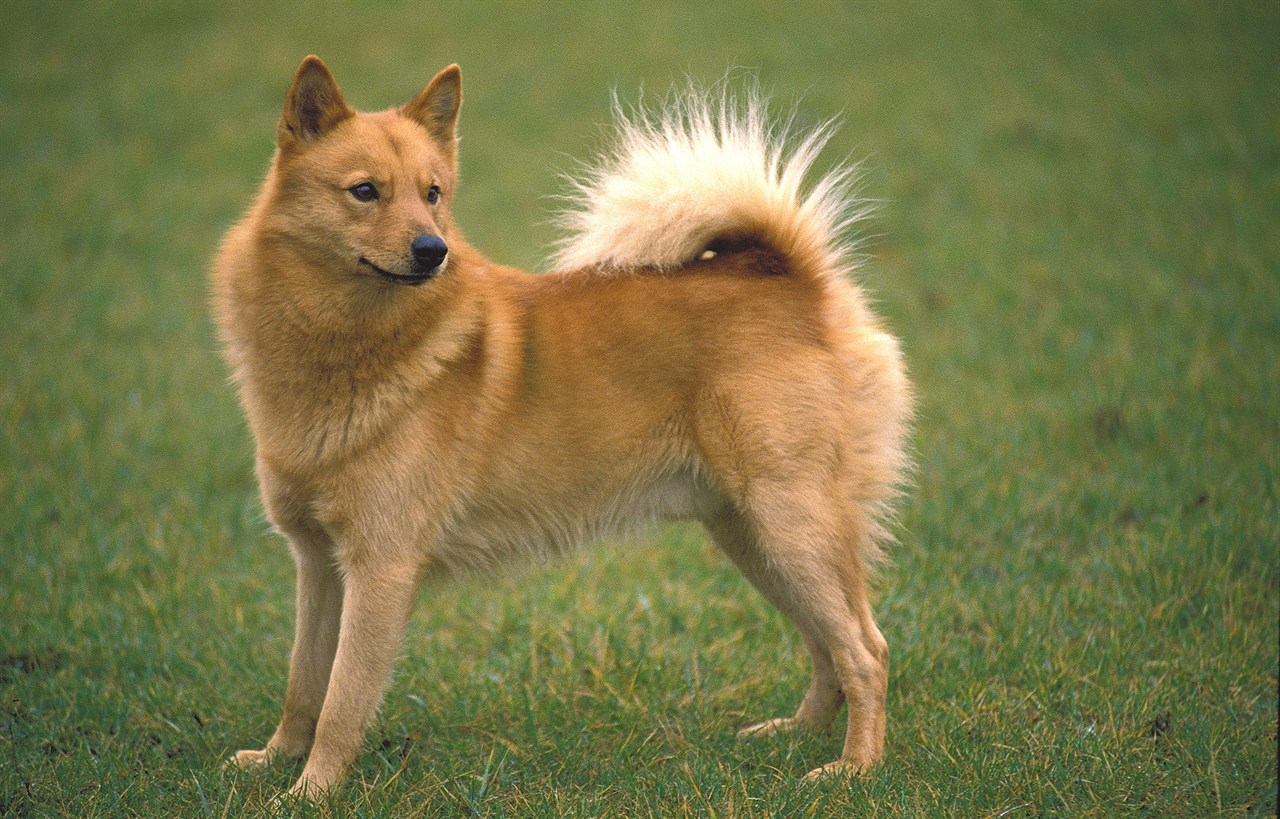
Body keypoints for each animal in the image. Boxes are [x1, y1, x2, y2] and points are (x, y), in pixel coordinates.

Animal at [212, 54, 911, 798]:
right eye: (365, 192)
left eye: (433, 194)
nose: (432, 250)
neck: (347, 346)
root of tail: (792, 279)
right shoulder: (317, 563)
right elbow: (303, 682)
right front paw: (275, 760)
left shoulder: (380, 569)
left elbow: (343, 699)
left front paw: (309, 791)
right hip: (753, 536)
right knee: (825, 646)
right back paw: (794, 735)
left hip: (790, 523)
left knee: (865, 650)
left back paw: (854, 768)